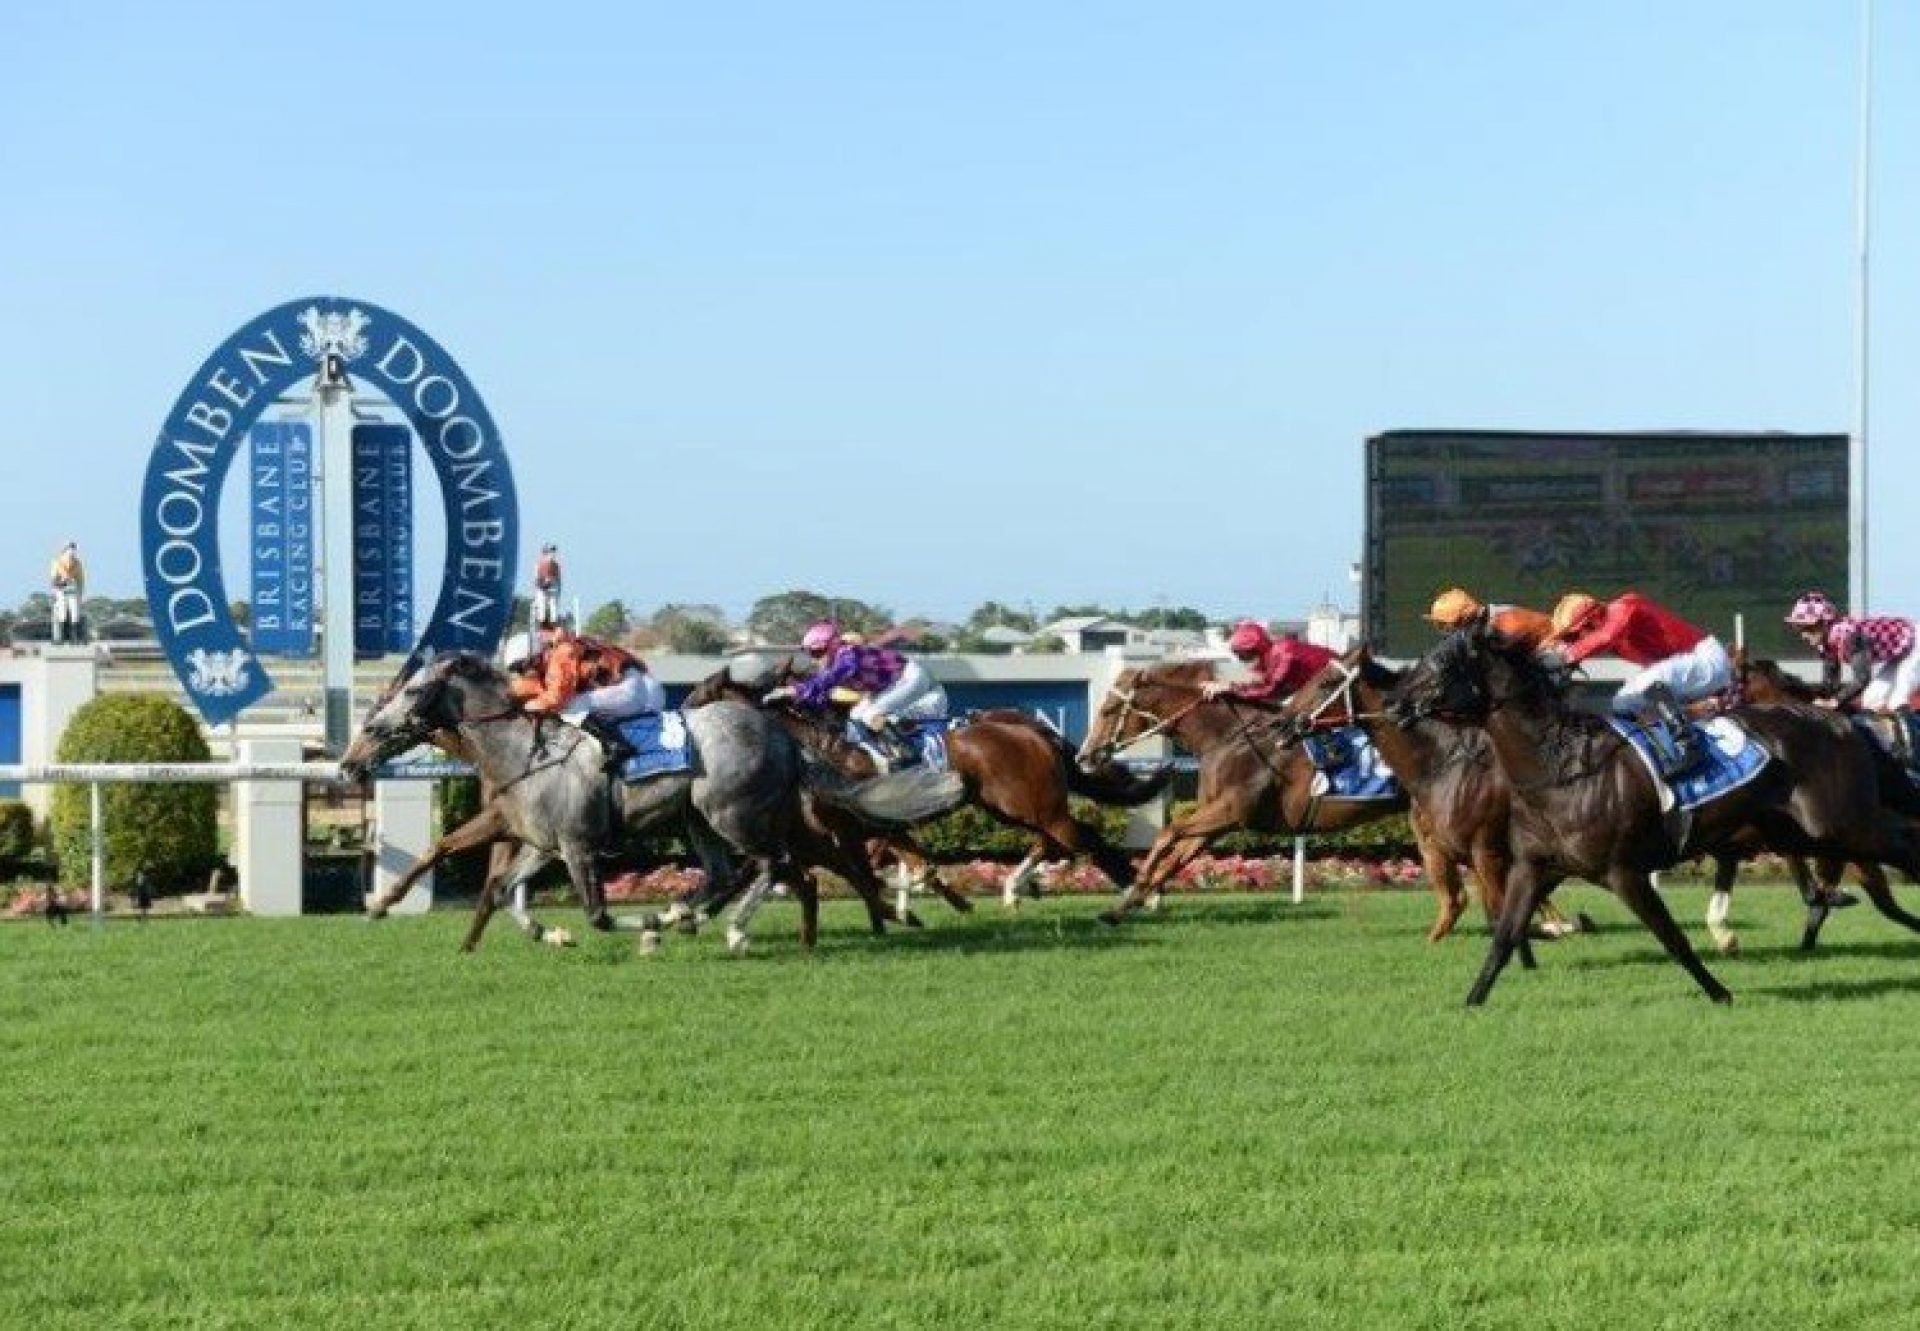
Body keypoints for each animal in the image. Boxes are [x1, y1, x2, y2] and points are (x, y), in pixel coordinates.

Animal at [339, 649, 967, 948]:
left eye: (410, 693)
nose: (348, 764)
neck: (524, 753)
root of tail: (781, 734)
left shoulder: (577, 845)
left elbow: (597, 913)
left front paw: (645, 928)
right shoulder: (540, 844)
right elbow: (503, 890)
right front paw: (551, 933)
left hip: (731, 814)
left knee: (777, 865)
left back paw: (730, 929)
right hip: (700, 823)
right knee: (735, 873)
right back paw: (691, 914)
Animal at [1082, 656, 1413, 925]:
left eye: (1108, 710)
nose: (1084, 757)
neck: (1228, 738)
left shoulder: (1233, 810)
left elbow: (1168, 833)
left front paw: (1138, 887)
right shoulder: (1215, 822)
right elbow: (1176, 856)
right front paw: (1121, 908)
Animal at [1390, 629, 1920, 998]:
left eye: (1441, 662)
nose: (1396, 701)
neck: (1560, 766)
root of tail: (1844, 723)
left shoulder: (1623, 870)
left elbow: (1671, 936)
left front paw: (1720, 992)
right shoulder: (1534, 866)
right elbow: (1502, 937)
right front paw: (1471, 1002)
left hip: (1841, 822)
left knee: (1903, 843)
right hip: (1805, 833)